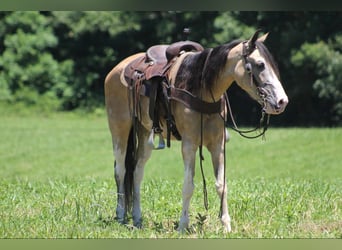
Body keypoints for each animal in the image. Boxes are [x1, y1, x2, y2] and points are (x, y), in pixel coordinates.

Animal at [104, 30, 288, 232]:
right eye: (260, 64)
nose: (282, 101)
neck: (201, 89)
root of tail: (117, 69)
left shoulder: (217, 145)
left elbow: (221, 185)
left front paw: (226, 225)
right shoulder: (189, 144)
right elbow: (188, 186)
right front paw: (183, 225)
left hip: (144, 133)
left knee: (137, 172)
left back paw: (137, 219)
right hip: (120, 129)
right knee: (121, 170)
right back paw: (121, 215)